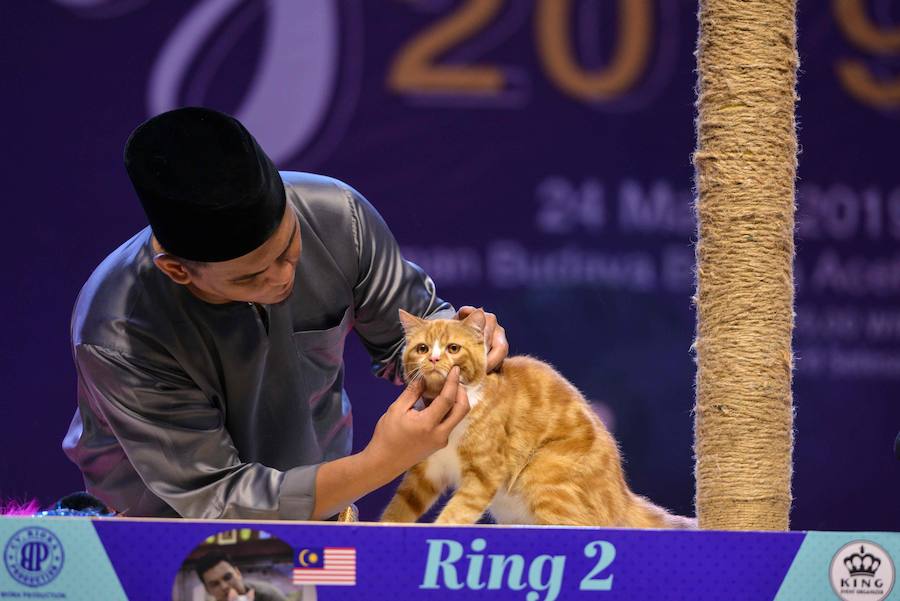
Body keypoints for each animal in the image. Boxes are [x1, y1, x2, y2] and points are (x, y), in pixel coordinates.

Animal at [380, 308, 696, 528]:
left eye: (453, 348)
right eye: (422, 348)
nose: (433, 359)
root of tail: (622, 494)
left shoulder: (485, 473)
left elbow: (456, 513)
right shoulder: (426, 471)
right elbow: (399, 507)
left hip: (545, 471)